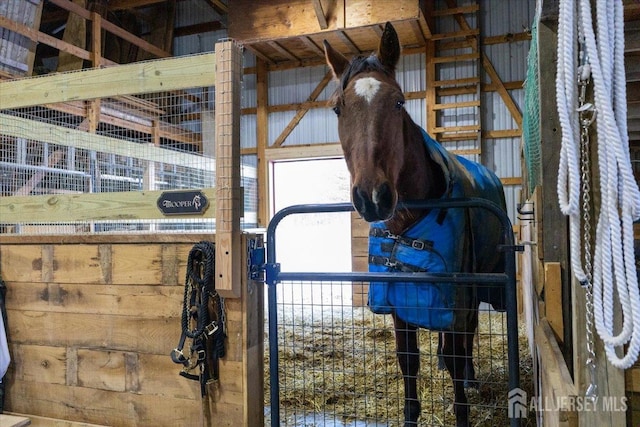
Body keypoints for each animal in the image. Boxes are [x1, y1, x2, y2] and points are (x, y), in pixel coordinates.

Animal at [322, 22, 508, 427]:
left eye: (398, 102)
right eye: (338, 107)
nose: (372, 196)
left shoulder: (456, 295)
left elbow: (456, 352)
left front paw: (461, 407)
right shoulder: (399, 301)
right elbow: (408, 361)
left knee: (467, 335)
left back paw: (470, 378)